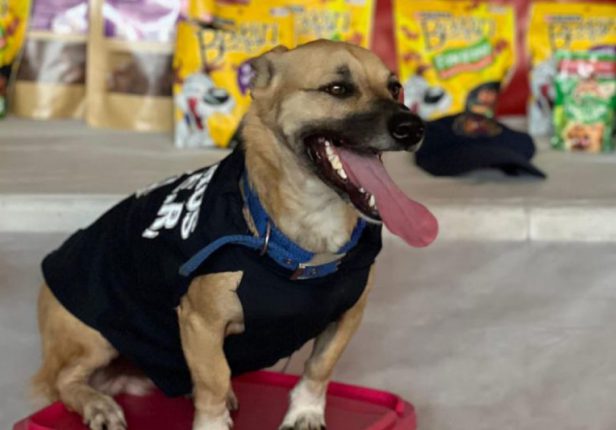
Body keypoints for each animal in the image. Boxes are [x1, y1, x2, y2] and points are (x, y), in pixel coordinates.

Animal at [33, 40, 435, 430]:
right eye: (338, 89)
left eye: (395, 87)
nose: (414, 128)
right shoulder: (200, 323)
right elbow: (214, 378)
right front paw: (213, 421)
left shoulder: (349, 314)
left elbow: (319, 367)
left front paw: (305, 413)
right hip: (94, 338)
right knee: (62, 381)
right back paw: (98, 404)